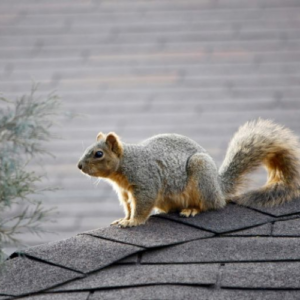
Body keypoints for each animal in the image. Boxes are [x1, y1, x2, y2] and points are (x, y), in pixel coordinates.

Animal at [77, 119, 300, 227]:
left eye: (98, 154)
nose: (79, 166)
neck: (126, 164)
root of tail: (219, 188)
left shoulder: (145, 181)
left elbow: (142, 206)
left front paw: (133, 222)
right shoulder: (125, 193)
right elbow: (129, 207)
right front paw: (124, 219)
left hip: (201, 175)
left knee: (211, 205)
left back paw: (193, 209)